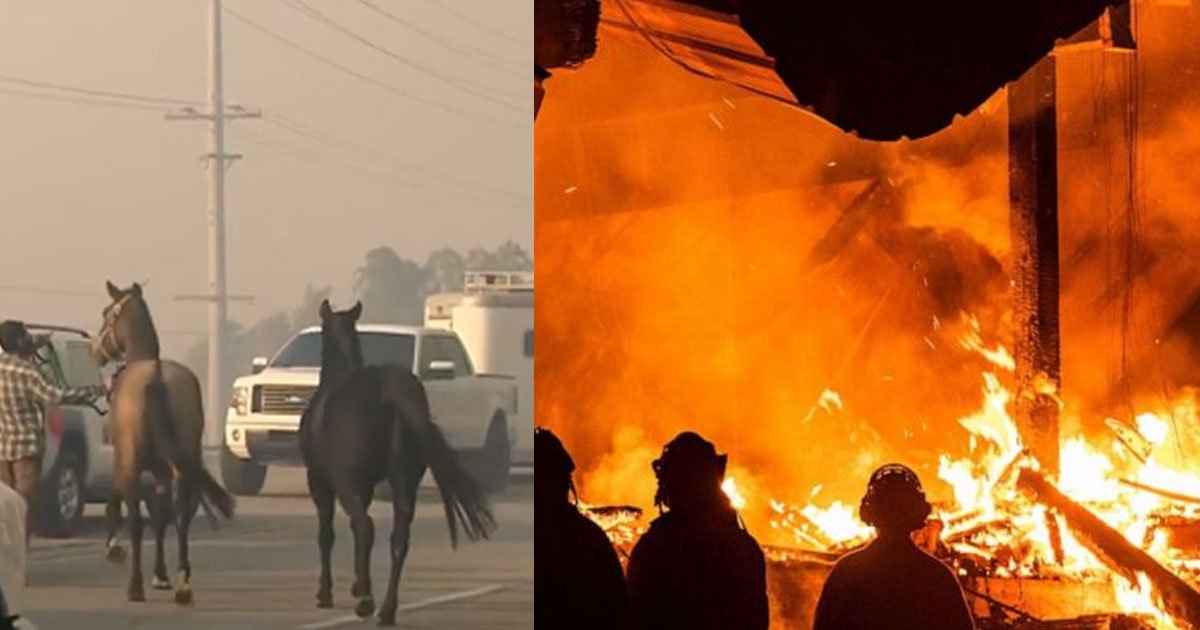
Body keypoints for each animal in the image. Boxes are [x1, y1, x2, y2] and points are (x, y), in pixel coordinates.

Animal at [91, 280, 234, 604]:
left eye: (107, 313)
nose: (95, 351)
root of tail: (156, 376)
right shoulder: (162, 472)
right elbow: (161, 516)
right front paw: (161, 574)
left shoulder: (123, 461)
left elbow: (117, 504)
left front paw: (114, 548)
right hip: (180, 465)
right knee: (180, 515)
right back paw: (183, 582)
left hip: (133, 464)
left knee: (136, 520)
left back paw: (135, 585)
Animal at [302, 301, 494, 624]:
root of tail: (388, 392)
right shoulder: (365, 487)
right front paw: (357, 584)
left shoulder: (320, 481)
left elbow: (327, 534)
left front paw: (325, 593)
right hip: (404, 480)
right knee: (398, 539)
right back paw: (387, 609)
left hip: (347, 482)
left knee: (364, 526)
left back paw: (367, 602)